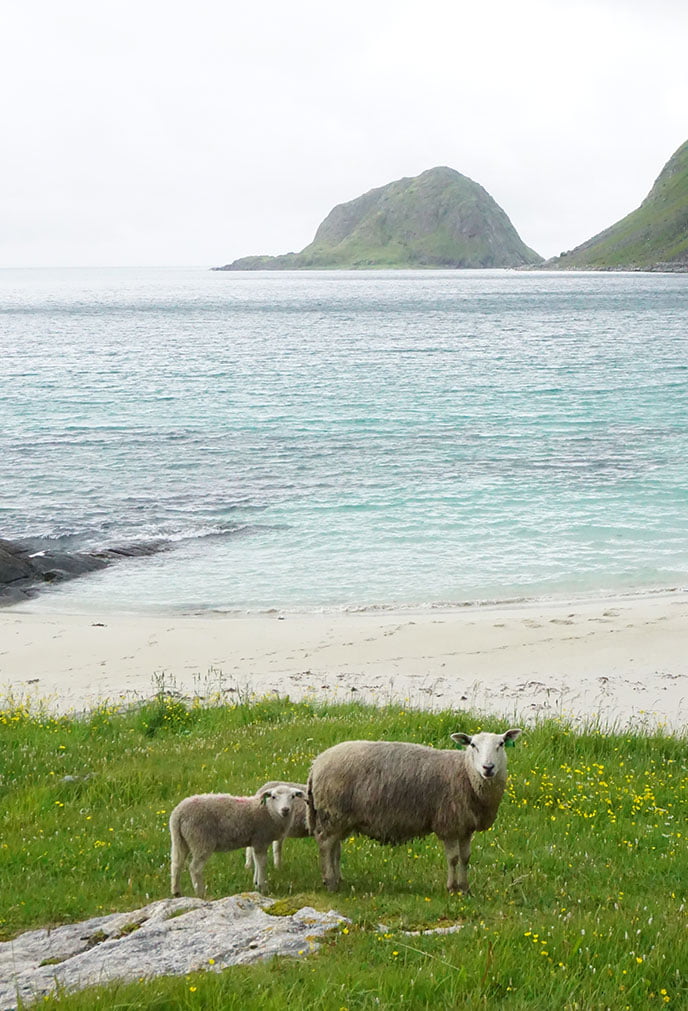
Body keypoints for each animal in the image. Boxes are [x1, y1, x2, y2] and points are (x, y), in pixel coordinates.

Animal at [169, 784, 305, 897]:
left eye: (293, 796)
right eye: (273, 797)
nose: (285, 809)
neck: (269, 812)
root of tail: (177, 814)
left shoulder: (255, 841)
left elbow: (256, 862)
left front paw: (256, 884)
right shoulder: (261, 839)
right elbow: (262, 863)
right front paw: (263, 887)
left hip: (181, 840)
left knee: (176, 864)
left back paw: (176, 892)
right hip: (201, 840)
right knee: (195, 868)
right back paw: (201, 893)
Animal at [307, 729, 522, 894]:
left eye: (501, 744)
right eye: (473, 745)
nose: (488, 767)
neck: (466, 774)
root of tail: (316, 763)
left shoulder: (465, 826)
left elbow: (465, 858)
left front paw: (465, 888)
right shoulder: (449, 824)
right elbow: (453, 859)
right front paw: (452, 888)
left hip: (340, 817)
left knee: (334, 847)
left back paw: (338, 879)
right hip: (333, 812)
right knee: (325, 844)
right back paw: (330, 882)